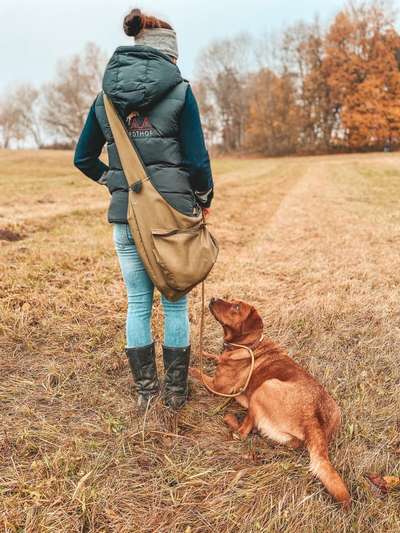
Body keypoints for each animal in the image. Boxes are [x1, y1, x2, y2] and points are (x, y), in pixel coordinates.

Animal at [191, 298, 350, 504]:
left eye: (236, 307)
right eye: (230, 300)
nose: (212, 299)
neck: (248, 345)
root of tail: (312, 418)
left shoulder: (217, 386)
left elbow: (196, 372)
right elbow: (213, 356)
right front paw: (204, 352)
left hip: (265, 387)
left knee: (242, 433)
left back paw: (230, 419)